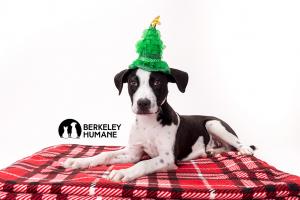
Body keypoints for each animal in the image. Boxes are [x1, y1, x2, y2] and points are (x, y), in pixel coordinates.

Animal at [63, 68, 255, 182]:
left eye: (157, 83)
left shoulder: (167, 158)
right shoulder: (133, 152)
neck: (148, 123)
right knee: (226, 147)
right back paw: (211, 151)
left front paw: (124, 172)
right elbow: (105, 155)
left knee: (236, 143)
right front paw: (80, 161)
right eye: (133, 83)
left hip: (214, 124)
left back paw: (244, 150)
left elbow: (143, 164)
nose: (143, 103)